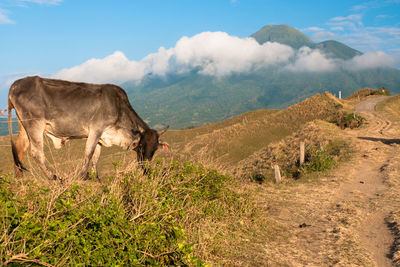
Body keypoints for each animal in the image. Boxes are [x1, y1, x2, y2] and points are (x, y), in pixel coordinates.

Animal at [7, 76, 170, 180]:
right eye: (141, 146)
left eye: (154, 149)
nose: (145, 167)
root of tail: (15, 85)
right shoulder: (95, 130)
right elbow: (88, 153)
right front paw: (82, 176)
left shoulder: (101, 136)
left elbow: (95, 158)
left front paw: (94, 177)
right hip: (34, 125)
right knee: (37, 153)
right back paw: (54, 178)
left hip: (23, 127)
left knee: (19, 149)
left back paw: (20, 180)